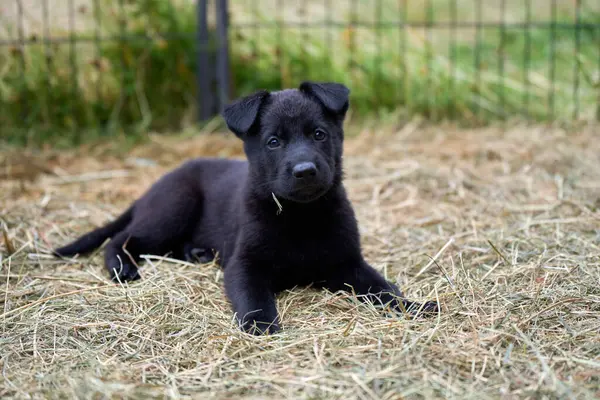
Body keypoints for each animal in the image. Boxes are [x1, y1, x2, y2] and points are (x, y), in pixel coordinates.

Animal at [54, 81, 438, 334]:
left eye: (319, 134)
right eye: (274, 141)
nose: (305, 171)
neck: (301, 216)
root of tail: (155, 185)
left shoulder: (348, 264)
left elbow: (384, 288)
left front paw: (414, 306)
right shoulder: (244, 265)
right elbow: (253, 297)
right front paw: (262, 325)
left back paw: (197, 253)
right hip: (172, 209)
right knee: (121, 238)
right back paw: (122, 268)